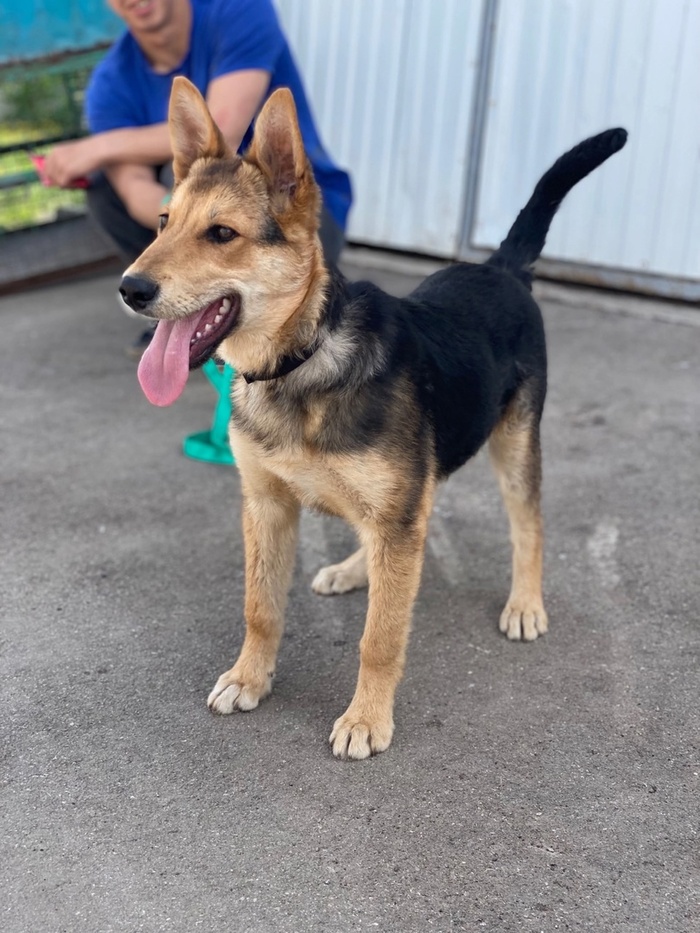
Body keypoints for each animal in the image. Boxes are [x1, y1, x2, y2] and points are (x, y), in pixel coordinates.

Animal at [120, 76, 627, 760]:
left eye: (221, 234)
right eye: (162, 222)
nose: (129, 289)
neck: (301, 359)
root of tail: (498, 267)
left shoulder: (393, 515)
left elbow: (380, 638)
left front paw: (366, 718)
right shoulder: (266, 505)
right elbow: (260, 607)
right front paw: (250, 678)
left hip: (513, 445)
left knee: (528, 525)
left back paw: (524, 602)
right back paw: (355, 570)